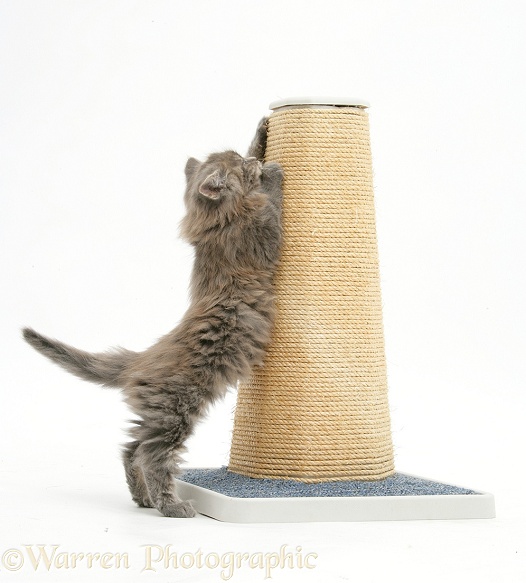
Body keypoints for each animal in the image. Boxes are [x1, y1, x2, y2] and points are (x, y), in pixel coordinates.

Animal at [22, 118, 282, 520]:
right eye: (237, 165)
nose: (249, 161)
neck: (213, 223)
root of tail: (139, 361)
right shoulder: (261, 239)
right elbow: (272, 208)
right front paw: (272, 175)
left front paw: (261, 134)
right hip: (174, 410)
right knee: (151, 455)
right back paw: (171, 506)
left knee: (130, 449)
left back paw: (142, 498)